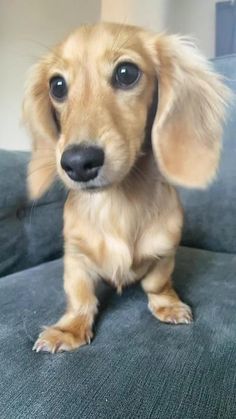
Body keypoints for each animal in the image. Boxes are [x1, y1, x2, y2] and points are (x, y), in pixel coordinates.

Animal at [23, 21, 230, 352]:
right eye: (57, 86)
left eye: (126, 72)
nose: (78, 163)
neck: (116, 203)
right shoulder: (75, 258)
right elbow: (80, 296)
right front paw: (69, 329)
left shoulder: (165, 252)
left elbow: (157, 283)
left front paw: (168, 304)